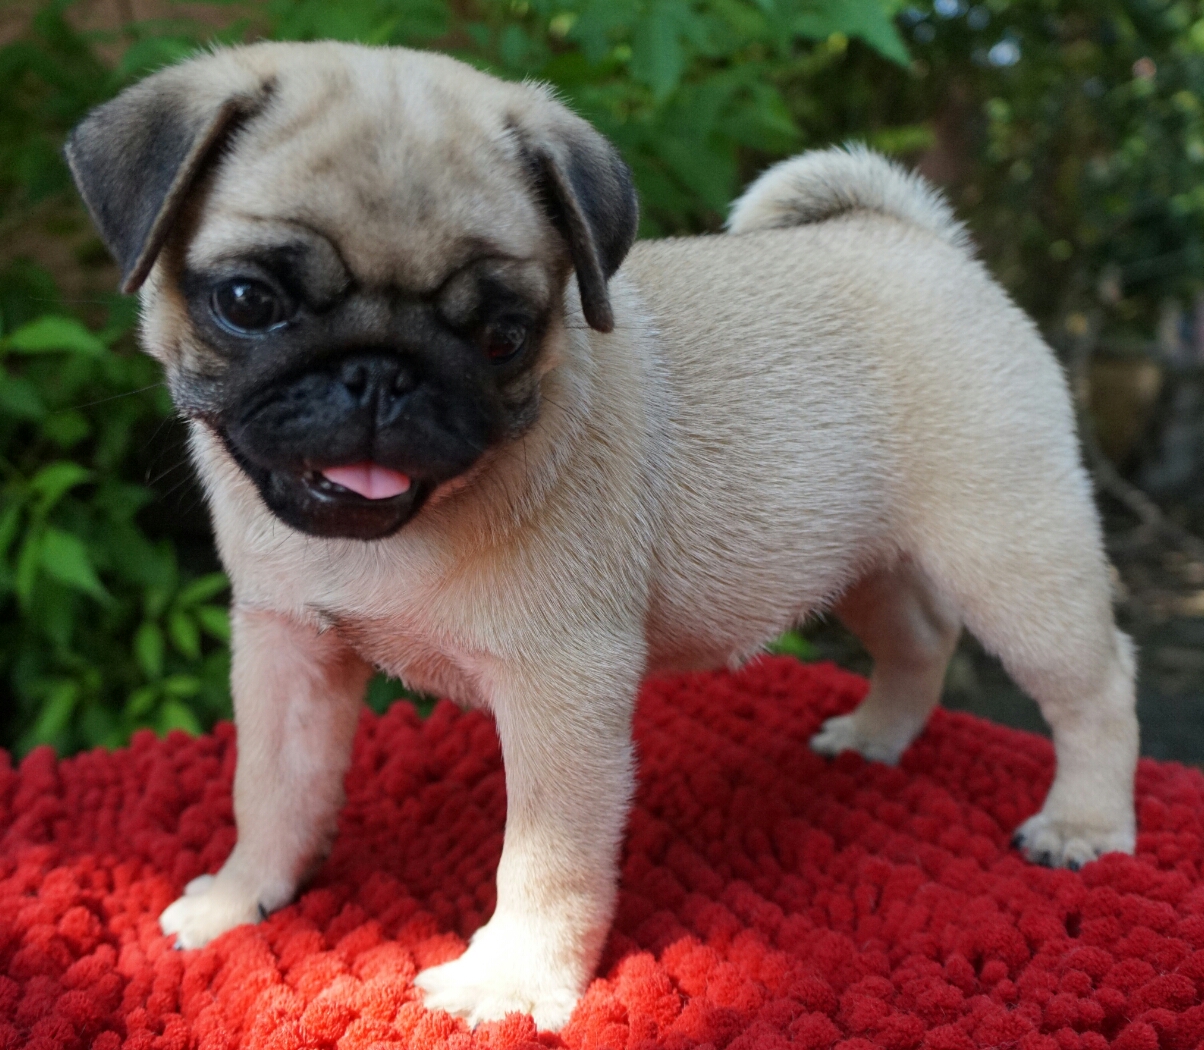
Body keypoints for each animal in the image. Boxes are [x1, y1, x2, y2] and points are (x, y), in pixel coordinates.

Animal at [66, 41, 1139, 1030]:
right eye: (249, 302)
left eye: (502, 332)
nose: (379, 373)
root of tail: (922, 241)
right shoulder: (287, 648)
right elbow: (272, 788)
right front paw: (242, 898)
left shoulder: (562, 692)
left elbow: (543, 861)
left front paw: (508, 982)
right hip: (861, 558)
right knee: (921, 639)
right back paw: (877, 737)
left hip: (1009, 552)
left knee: (1095, 683)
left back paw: (1083, 823)